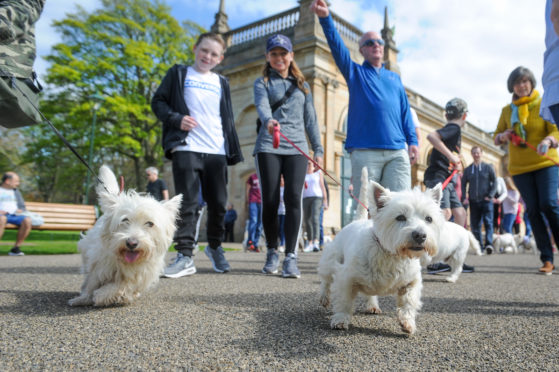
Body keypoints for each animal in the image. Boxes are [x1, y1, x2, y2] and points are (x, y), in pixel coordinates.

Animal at [67, 167, 182, 306]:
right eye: (125, 220)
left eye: (150, 223)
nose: (131, 243)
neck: (126, 262)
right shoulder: (98, 265)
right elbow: (91, 283)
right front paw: (83, 298)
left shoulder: (139, 275)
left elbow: (122, 286)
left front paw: (102, 295)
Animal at [320, 169, 446, 334]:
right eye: (400, 217)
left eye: (429, 219)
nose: (420, 235)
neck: (392, 255)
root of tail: (357, 221)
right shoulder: (346, 277)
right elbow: (344, 299)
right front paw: (340, 319)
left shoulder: (411, 281)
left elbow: (409, 301)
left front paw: (407, 323)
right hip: (331, 257)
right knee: (326, 279)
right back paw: (324, 298)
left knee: (370, 294)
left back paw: (373, 306)